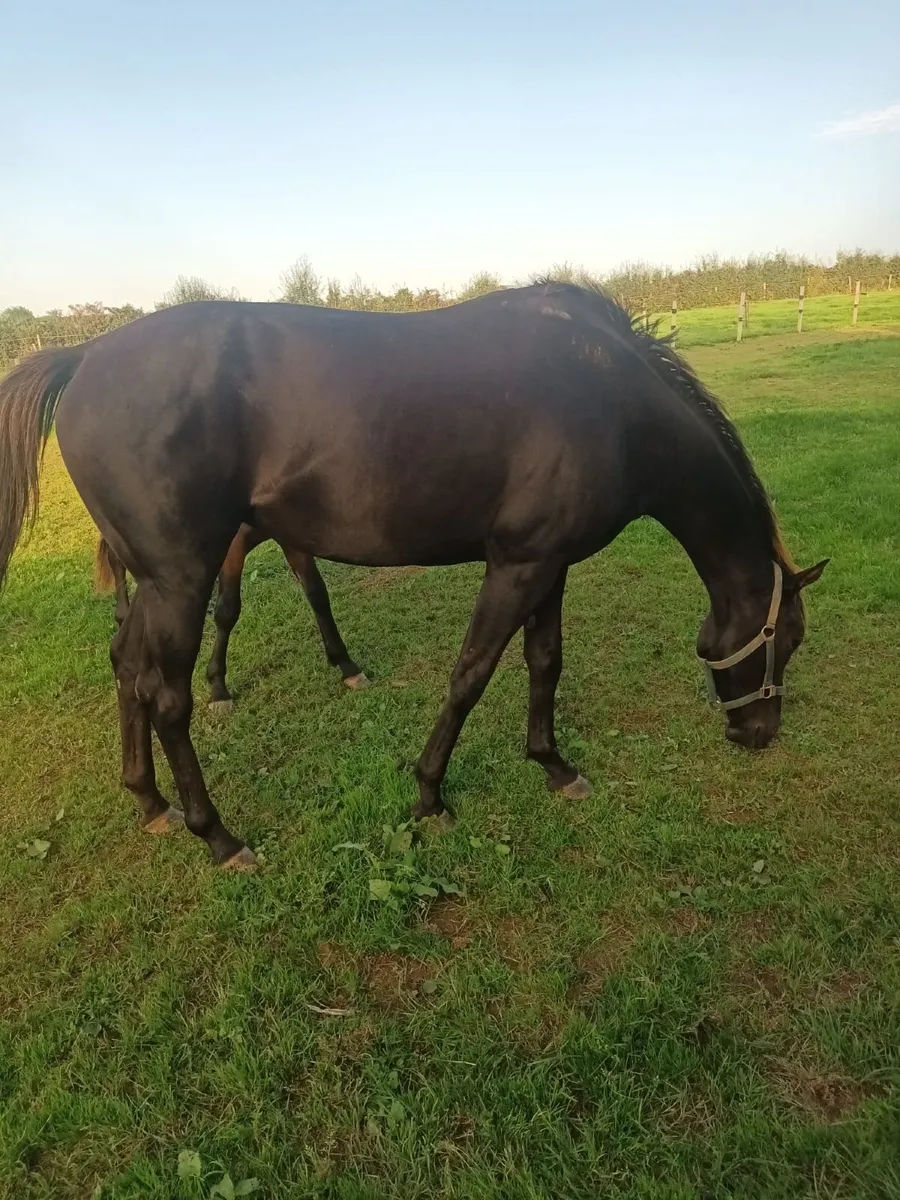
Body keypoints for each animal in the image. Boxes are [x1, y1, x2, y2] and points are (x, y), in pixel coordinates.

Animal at [94, 529, 369, 712]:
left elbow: (316, 593)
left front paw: (347, 665)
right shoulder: (233, 546)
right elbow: (227, 611)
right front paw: (218, 689)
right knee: (117, 557)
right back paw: (123, 617)